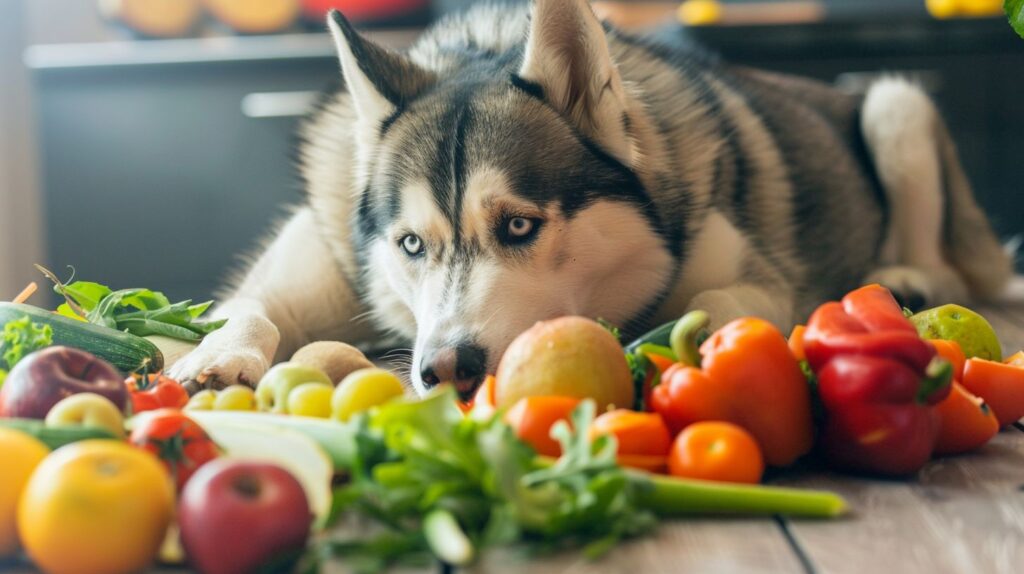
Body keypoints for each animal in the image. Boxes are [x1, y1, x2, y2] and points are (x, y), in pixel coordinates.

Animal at [165, 0, 1007, 399]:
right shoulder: (315, 262)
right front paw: (218, 357)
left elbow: (724, 301)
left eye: (517, 225)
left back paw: (906, 277)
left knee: (946, 260)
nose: (443, 367)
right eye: (410, 245)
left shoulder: (756, 278)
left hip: (896, 105)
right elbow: (245, 306)